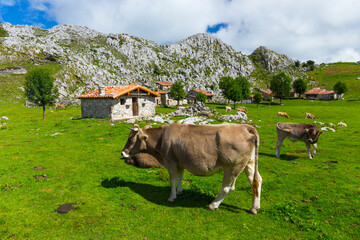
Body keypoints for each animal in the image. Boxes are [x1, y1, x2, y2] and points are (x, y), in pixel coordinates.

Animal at [121, 124, 262, 214]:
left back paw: (213, 205)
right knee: (256, 181)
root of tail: (244, 127)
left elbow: (173, 180)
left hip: (232, 167)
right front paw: (179, 191)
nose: (123, 152)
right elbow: (180, 177)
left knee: (228, 188)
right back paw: (254, 207)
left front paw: (172, 197)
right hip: (249, 163)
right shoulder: (180, 161)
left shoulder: (170, 161)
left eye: (131, 139)